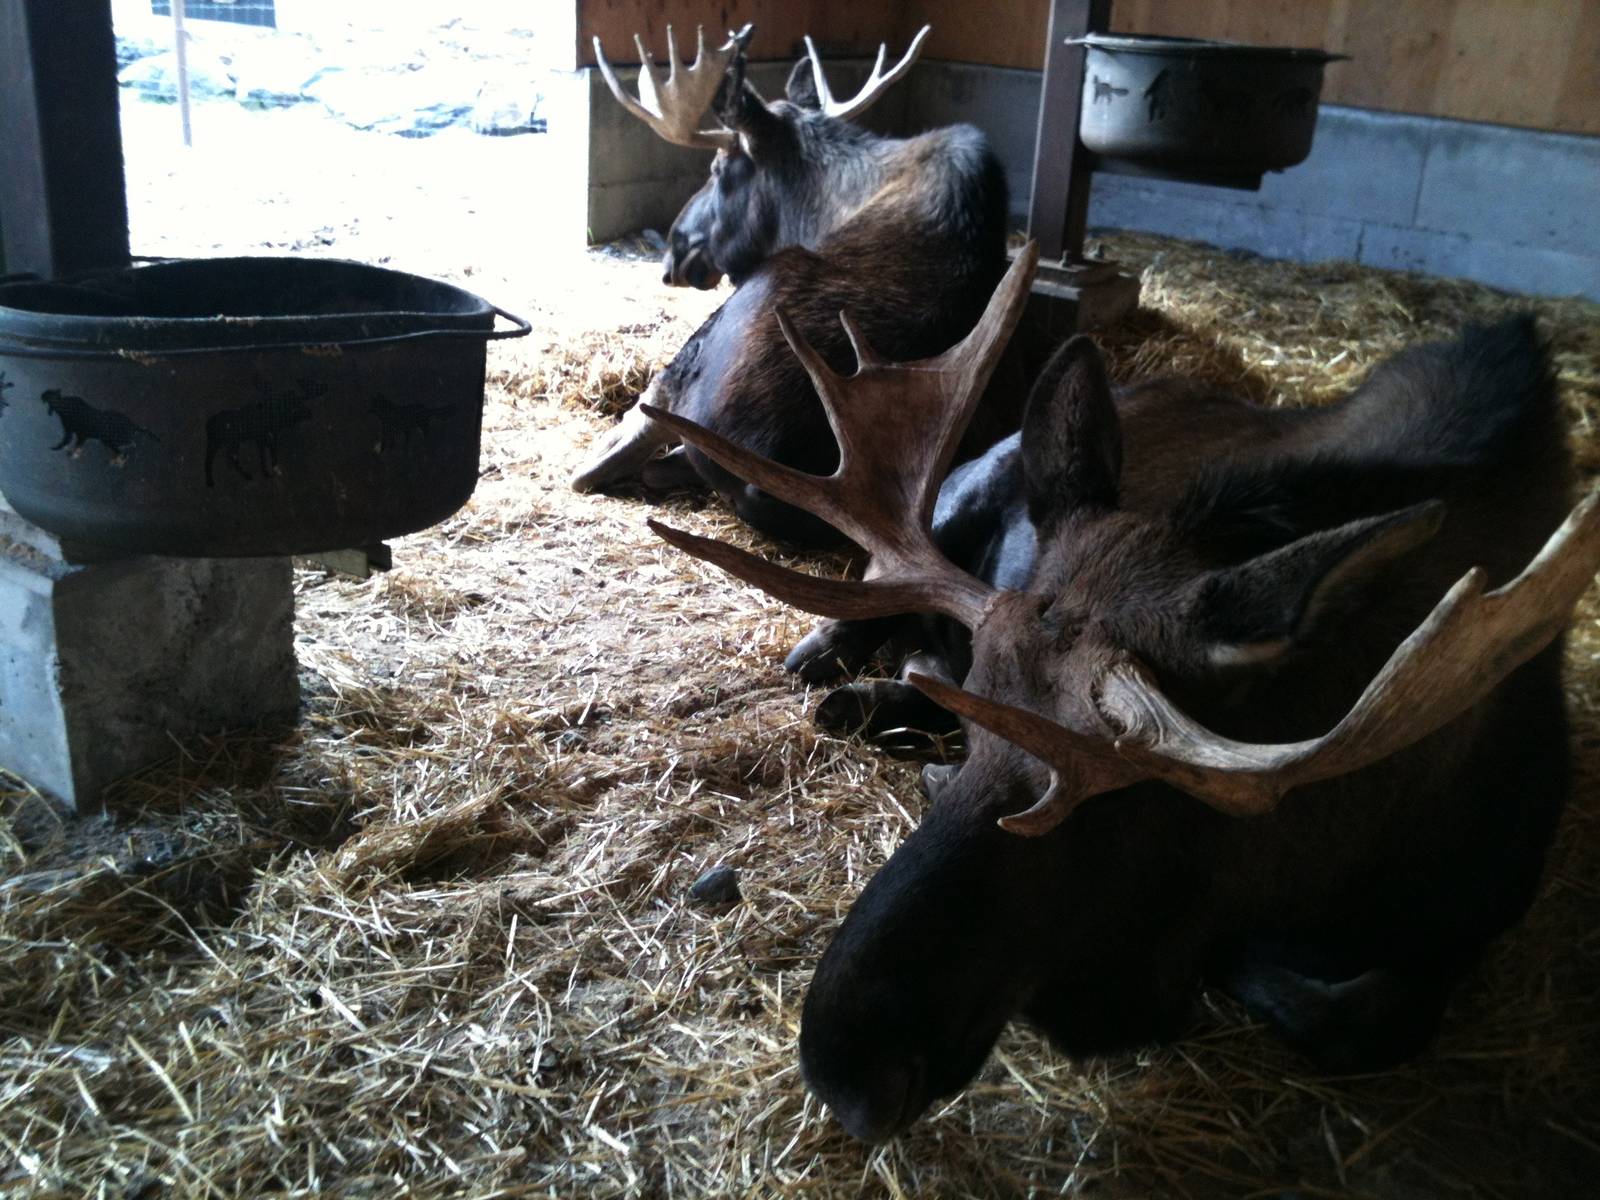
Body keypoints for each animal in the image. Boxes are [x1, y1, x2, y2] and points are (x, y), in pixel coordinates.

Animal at [641, 245, 1600, 1141]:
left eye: (1121, 807)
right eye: (984, 733)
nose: (848, 1066)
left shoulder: (1474, 907)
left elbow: (1355, 1013)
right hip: (961, 490)